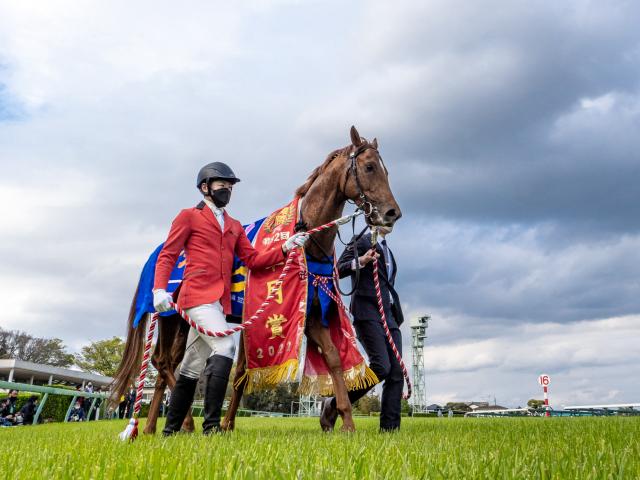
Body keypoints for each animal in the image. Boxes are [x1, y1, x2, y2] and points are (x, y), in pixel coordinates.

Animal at [110, 125, 400, 434]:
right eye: (369, 167)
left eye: (386, 171)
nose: (392, 212)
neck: (306, 239)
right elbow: (243, 370)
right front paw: (224, 423)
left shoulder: (309, 312)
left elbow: (332, 357)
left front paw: (344, 420)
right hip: (171, 315)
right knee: (165, 362)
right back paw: (182, 422)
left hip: (183, 320)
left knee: (168, 362)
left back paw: (152, 426)